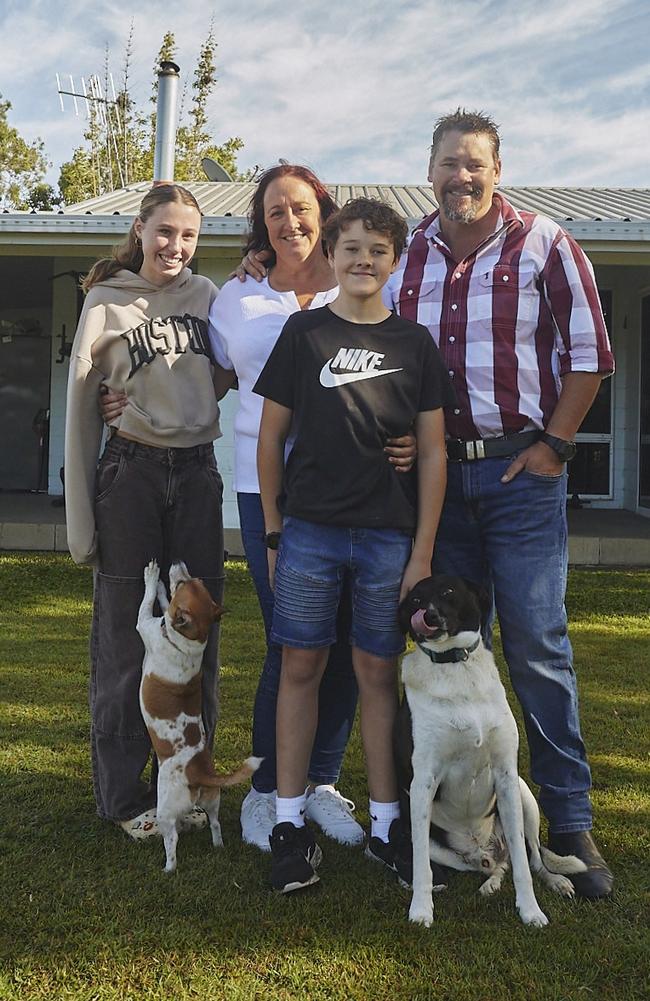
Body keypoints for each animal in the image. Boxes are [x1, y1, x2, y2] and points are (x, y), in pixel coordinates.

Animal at [135, 560, 260, 872]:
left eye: (184, 583)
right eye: (194, 580)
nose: (178, 563)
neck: (189, 641)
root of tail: (201, 772)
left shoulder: (144, 623)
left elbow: (147, 602)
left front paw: (152, 577)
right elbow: (163, 603)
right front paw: (162, 588)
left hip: (166, 809)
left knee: (172, 841)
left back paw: (168, 868)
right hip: (213, 801)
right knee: (215, 824)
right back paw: (217, 846)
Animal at [392, 580, 584, 928]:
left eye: (449, 591)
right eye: (415, 599)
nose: (428, 615)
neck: (456, 666)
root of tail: (484, 850)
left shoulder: (506, 776)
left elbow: (523, 864)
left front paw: (530, 910)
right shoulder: (422, 783)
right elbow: (421, 867)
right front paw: (421, 910)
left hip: (524, 797)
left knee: (532, 857)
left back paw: (555, 881)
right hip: (436, 842)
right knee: (494, 865)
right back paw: (490, 883)